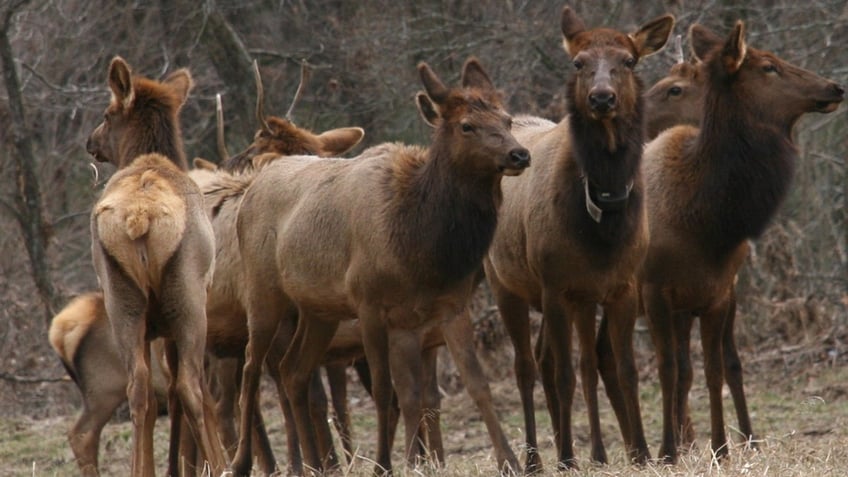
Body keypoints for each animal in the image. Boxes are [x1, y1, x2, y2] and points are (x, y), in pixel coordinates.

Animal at [85, 56, 229, 476]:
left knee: (139, 390)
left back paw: (141, 468)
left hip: (123, 302)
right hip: (187, 300)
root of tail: (139, 218)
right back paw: (221, 465)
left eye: (106, 114)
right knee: (190, 387)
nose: (90, 141)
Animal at [232, 56, 524, 476]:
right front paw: (384, 464)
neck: (419, 246)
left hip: (318, 311)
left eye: (507, 118)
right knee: (251, 370)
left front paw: (512, 461)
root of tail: (253, 185)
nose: (520, 155)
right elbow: (388, 391)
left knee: (293, 371)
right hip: (262, 294)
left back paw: (318, 466)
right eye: (467, 125)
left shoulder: (442, 310)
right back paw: (242, 462)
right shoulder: (368, 302)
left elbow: (467, 385)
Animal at [484, 5, 676, 470]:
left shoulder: (620, 287)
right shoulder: (556, 287)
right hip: (506, 284)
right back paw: (536, 458)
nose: (602, 98)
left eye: (629, 60)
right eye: (578, 62)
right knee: (527, 367)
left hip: (574, 298)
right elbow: (565, 373)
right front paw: (569, 457)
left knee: (561, 360)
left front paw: (640, 452)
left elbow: (623, 368)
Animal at [640, 21, 844, 462]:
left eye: (674, 88)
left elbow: (717, 368)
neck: (701, 217)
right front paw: (668, 450)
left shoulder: (717, 290)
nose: (836, 86)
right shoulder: (654, 289)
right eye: (768, 66)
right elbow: (667, 368)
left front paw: (724, 446)